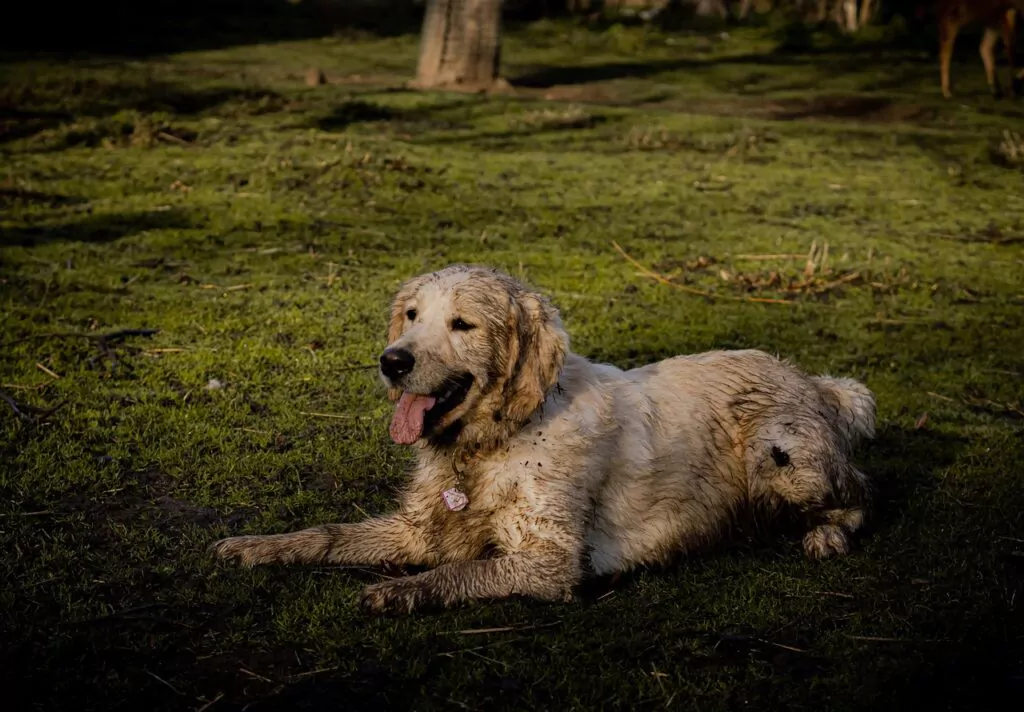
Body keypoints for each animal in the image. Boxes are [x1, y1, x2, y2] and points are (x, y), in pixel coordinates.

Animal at [211, 264, 876, 614]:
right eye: (411, 315)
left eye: (462, 324)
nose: (392, 361)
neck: (492, 442)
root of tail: (812, 379)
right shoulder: (418, 529)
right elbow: (326, 534)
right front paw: (257, 546)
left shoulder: (549, 563)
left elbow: (457, 573)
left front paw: (397, 590)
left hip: (785, 454)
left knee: (860, 493)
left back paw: (825, 535)